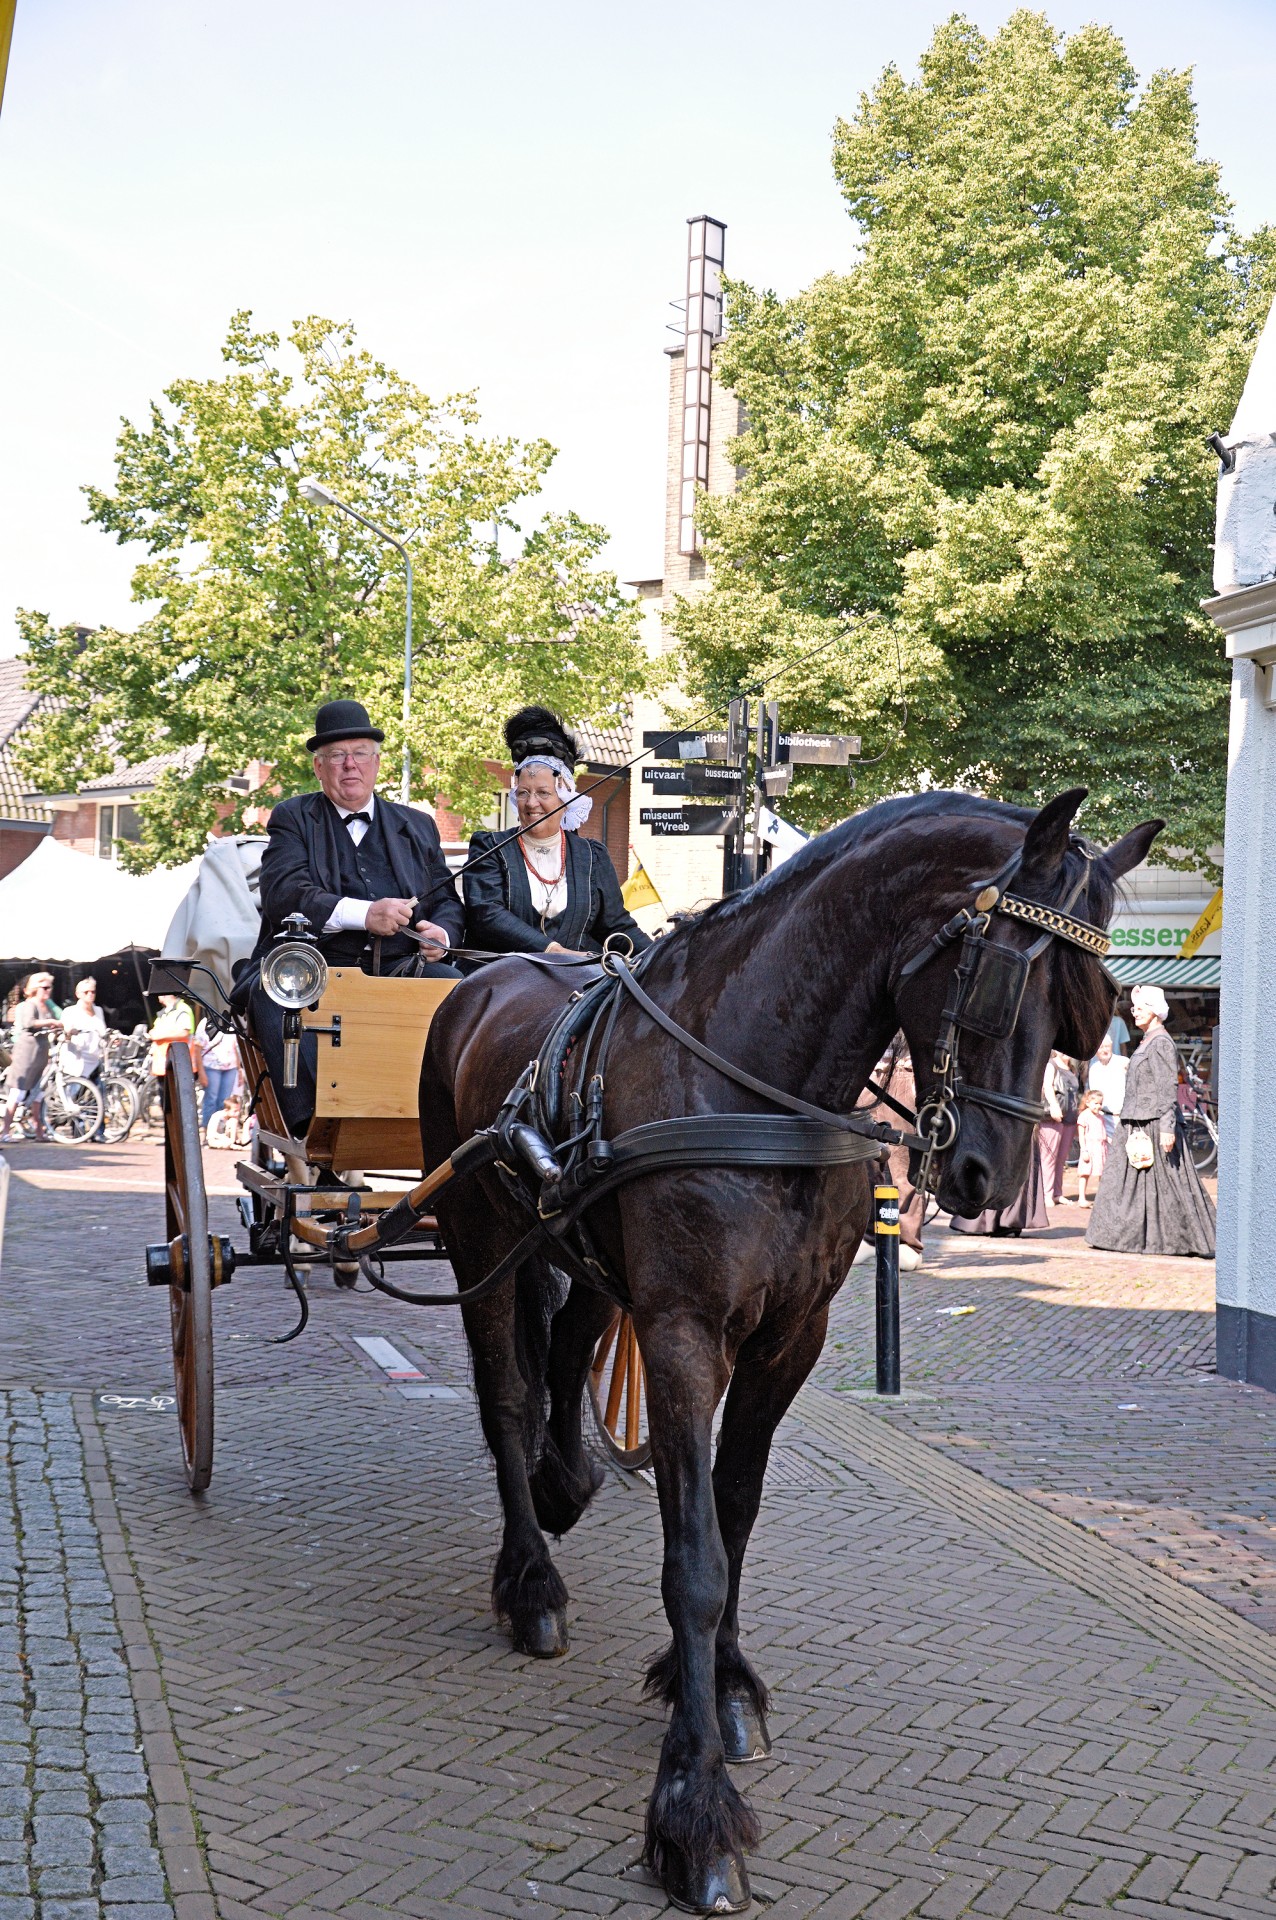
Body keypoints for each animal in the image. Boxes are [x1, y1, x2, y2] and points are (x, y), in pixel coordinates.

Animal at [422, 787, 1158, 1912]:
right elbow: (694, 1561)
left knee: (566, 1351)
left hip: (579, 1253)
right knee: (504, 1397)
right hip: (479, 1243)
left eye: (1091, 1003)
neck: (757, 1080)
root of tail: (486, 978)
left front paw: (724, 1690)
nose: (987, 1179)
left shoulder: (789, 1338)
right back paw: (530, 1583)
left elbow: (734, 1515)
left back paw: (565, 1483)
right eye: (1005, 977)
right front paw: (693, 1813)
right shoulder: (683, 1333)